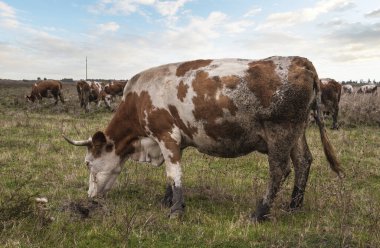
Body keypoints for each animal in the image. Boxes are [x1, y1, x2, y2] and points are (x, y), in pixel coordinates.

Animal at [63, 56, 342, 223]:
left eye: (88, 163)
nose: (90, 196)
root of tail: (299, 61)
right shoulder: (174, 142)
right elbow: (170, 174)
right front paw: (166, 200)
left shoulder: (166, 136)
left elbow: (174, 173)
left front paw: (176, 209)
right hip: (296, 133)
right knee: (303, 162)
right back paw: (294, 205)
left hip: (280, 133)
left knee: (279, 170)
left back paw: (259, 212)